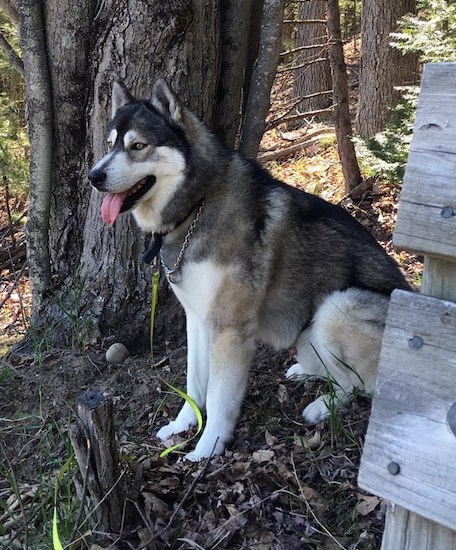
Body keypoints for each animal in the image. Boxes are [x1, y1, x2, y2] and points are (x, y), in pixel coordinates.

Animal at [88, 80, 410, 464]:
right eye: (110, 145)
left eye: (138, 146)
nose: (93, 176)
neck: (197, 206)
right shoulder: (197, 320)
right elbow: (194, 384)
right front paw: (183, 425)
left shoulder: (229, 328)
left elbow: (218, 397)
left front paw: (206, 448)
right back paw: (305, 372)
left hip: (337, 308)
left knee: (356, 384)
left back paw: (321, 407)